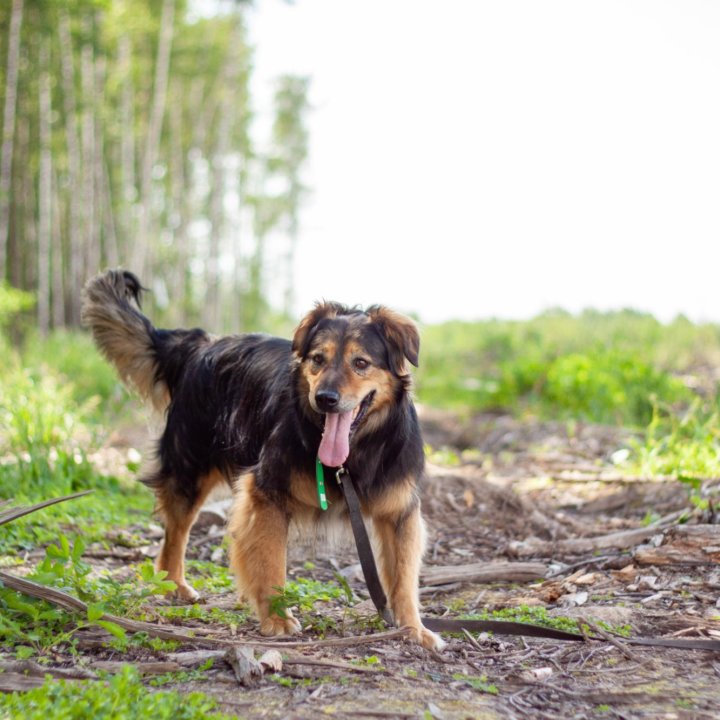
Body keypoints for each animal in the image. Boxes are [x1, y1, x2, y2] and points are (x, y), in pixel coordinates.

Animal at [80, 270, 444, 652]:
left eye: (360, 363)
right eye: (317, 359)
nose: (324, 399)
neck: (355, 449)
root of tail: (201, 344)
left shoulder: (399, 510)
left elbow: (403, 577)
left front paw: (413, 627)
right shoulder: (266, 492)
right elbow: (271, 563)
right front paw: (277, 619)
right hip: (190, 468)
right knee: (176, 532)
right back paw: (173, 585)